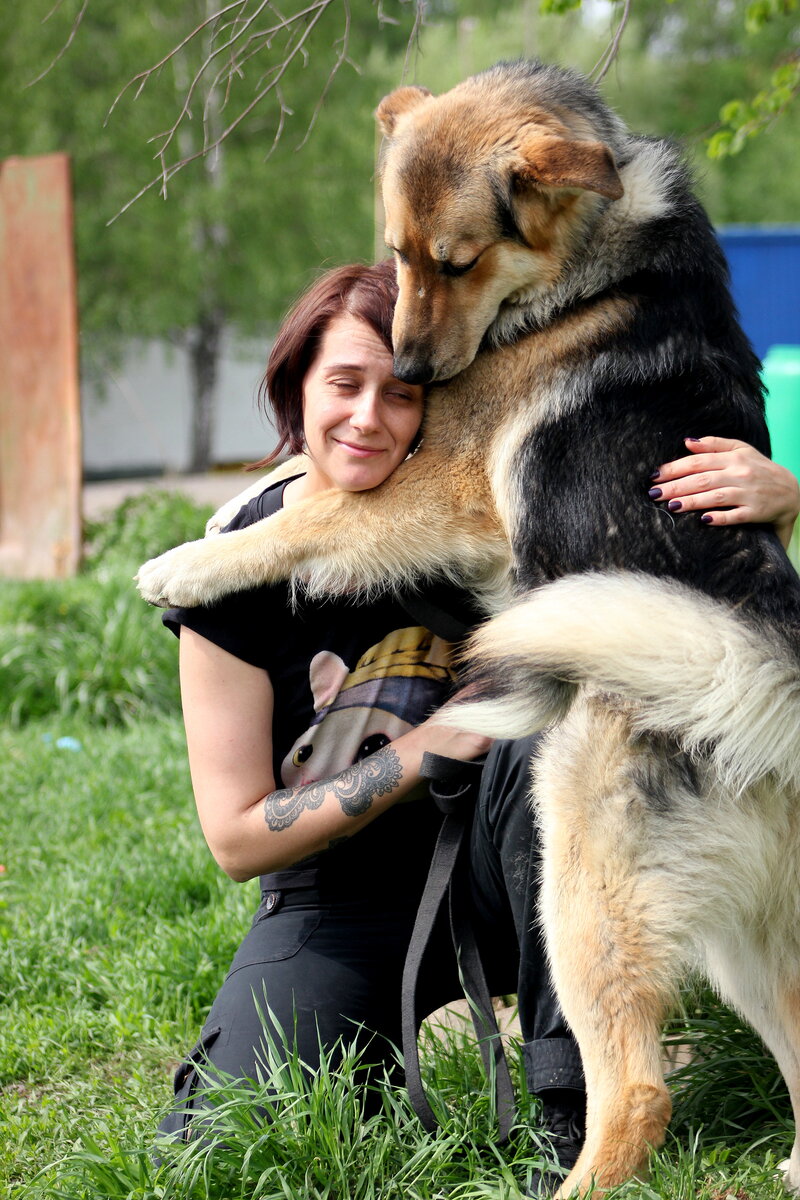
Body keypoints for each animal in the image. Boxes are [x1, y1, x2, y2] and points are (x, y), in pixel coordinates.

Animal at [139, 58, 800, 1200]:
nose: (405, 374)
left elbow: (317, 512)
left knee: (636, 1093)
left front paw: (184, 561)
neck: (590, 262)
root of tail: (758, 684)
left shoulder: (432, 488)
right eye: (395, 256)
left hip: (583, 889)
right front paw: (226, 511)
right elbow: (304, 482)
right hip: (743, 936)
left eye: (457, 259)